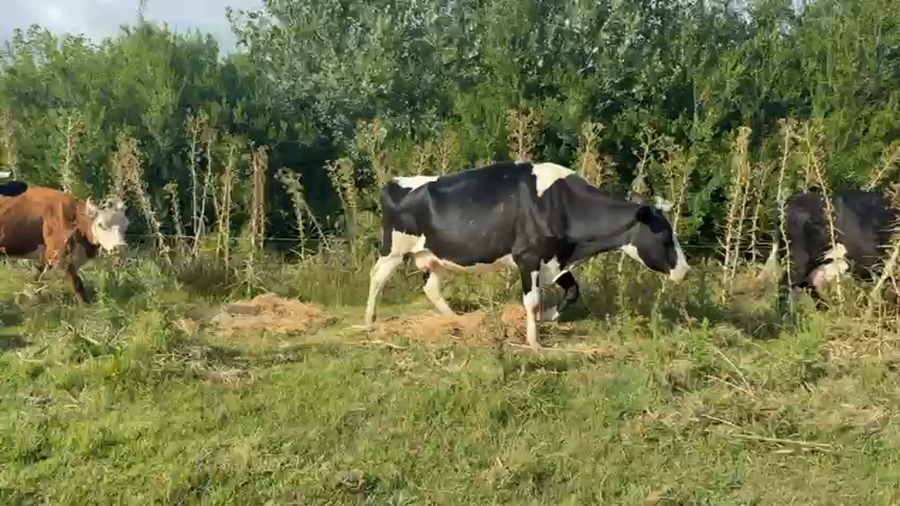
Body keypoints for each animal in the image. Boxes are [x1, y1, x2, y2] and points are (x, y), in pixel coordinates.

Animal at [0, 184, 129, 303]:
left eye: (126, 225)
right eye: (101, 225)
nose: (120, 248)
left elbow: (36, 278)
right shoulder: (59, 256)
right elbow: (76, 284)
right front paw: (86, 307)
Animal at [363, 160, 691, 349]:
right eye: (664, 234)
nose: (686, 270)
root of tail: (395, 182)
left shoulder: (555, 258)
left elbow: (572, 291)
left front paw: (547, 318)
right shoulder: (528, 256)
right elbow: (531, 300)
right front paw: (534, 342)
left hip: (435, 256)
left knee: (430, 288)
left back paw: (458, 321)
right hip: (394, 249)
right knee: (377, 277)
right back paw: (369, 321)